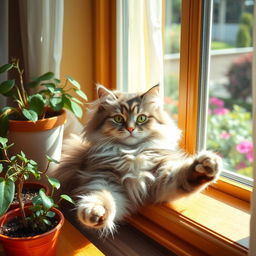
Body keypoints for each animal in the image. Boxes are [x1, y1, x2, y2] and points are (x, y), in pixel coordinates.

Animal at [53, 85, 222, 235]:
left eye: (141, 118)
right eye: (118, 118)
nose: (130, 129)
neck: (132, 153)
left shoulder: (161, 179)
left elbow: (183, 175)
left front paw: (205, 167)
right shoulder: (103, 178)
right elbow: (101, 197)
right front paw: (94, 212)